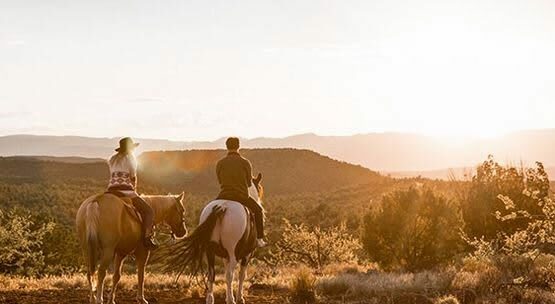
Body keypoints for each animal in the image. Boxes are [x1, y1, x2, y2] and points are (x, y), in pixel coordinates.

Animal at [166, 173, 264, 304]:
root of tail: (222, 208)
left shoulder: (225, 256)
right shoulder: (247, 255)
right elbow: (242, 275)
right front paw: (240, 297)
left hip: (210, 251)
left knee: (211, 274)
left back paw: (210, 298)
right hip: (232, 252)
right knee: (229, 275)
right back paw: (231, 300)